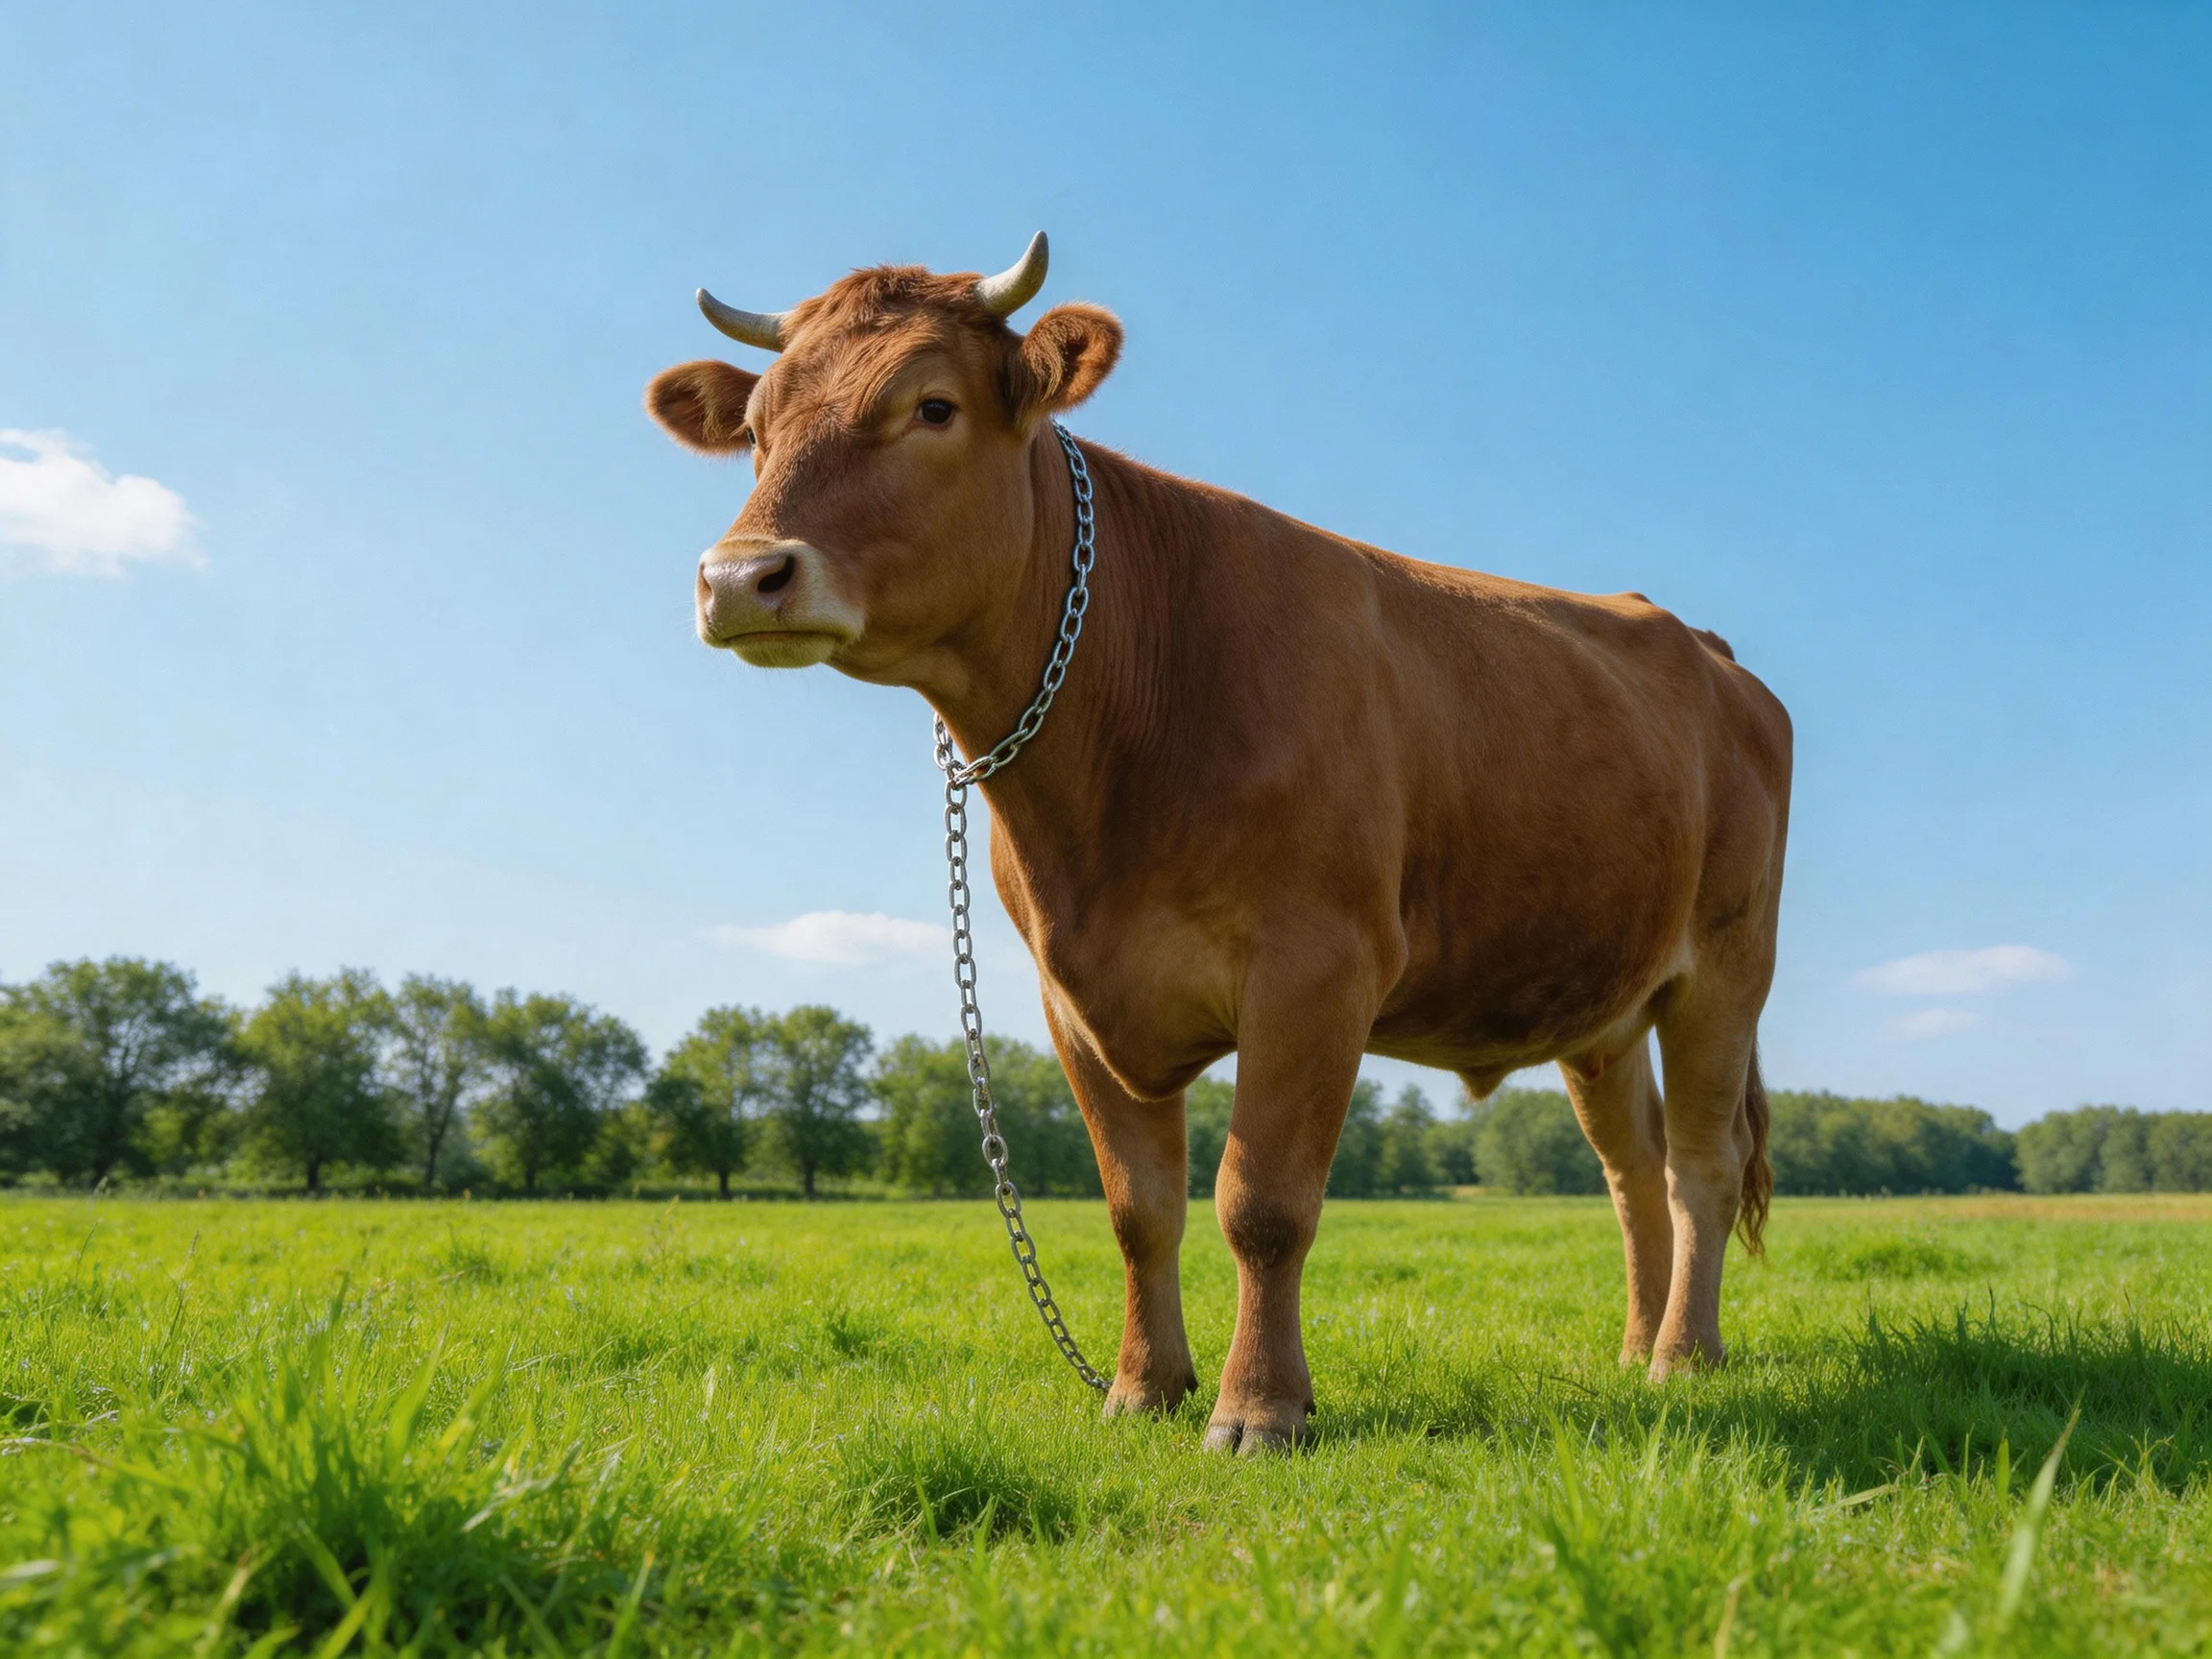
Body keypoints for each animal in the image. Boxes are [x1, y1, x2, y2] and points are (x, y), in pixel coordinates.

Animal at [646, 234, 1793, 1452]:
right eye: (756, 429)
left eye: (933, 405)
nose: (740, 577)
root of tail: (1703, 644)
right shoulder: (1073, 997)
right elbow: (1140, 1211)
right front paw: (1142, 1387)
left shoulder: (1317, 968)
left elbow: (1264, 1205)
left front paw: (1258, 1409)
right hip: (1602, 1005)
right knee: (1631, 1169)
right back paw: (1635, 1348)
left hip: (1726, 968)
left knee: (1701, 1165)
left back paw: (1685, 1358)